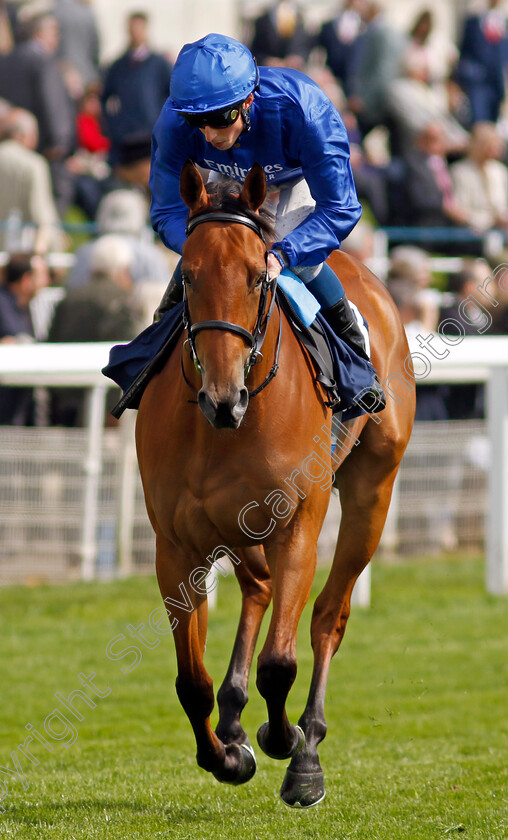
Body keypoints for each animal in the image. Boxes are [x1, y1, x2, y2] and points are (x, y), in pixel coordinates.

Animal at [136, 161, 416, 812]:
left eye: (256, 276)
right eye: (187, 277)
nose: (222, 397)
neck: (222, 430)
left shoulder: (297, 527)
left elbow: (280, 664)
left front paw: (285, 743)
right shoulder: (175, 545)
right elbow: (191, 680)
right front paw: (225, 754)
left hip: (371, 494)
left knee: (328, 617)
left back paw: (304, 745)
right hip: (237, 525)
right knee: (258, 586)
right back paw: (236, 718)